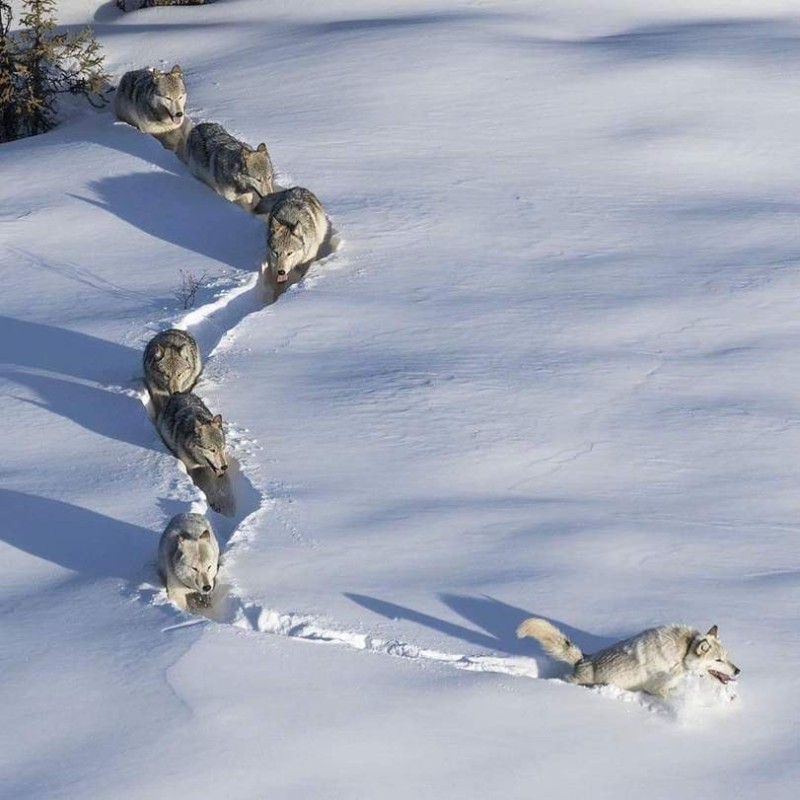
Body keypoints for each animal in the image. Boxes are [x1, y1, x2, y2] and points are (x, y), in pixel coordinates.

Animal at [516, 616, 740, 696]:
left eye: (726, 657)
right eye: (718, 660)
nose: (738, 670)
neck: (682, 652)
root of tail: (582, 658)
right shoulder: (657, 688)